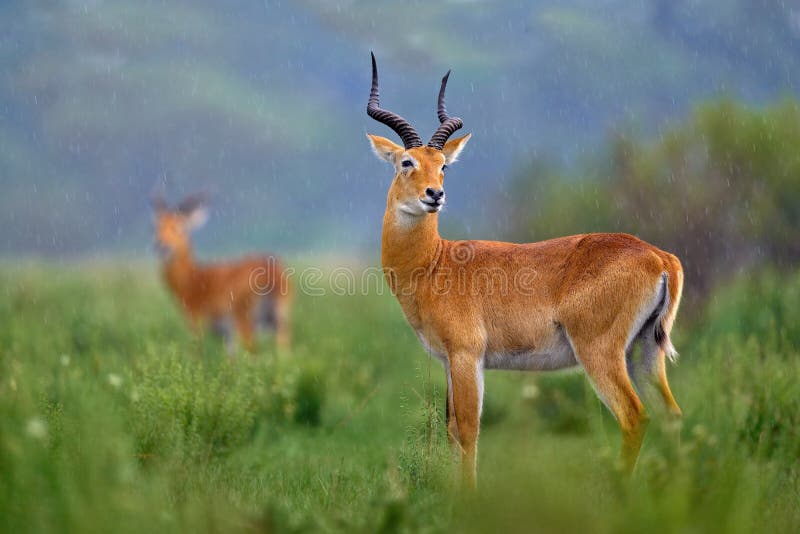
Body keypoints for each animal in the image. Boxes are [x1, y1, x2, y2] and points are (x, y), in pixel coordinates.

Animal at [150, 194, 290, 356]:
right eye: (156, 227)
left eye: (179, 227)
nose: (161, 245)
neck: (192, 279)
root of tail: (272, 272)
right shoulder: (227, 335)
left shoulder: (196, 322)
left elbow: (196, 351)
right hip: (279, 320)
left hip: (246, 320)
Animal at [366, 53, 684, 486]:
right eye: (406, 162)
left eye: (444, 165)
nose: (435, 195)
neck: (434, 263)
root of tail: (659, 257)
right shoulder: (449, 360)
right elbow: (452, 430)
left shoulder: (466, 355)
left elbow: (468, 430)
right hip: (645, 350)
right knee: (672, 417)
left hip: (600, 352)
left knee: (635, 417)